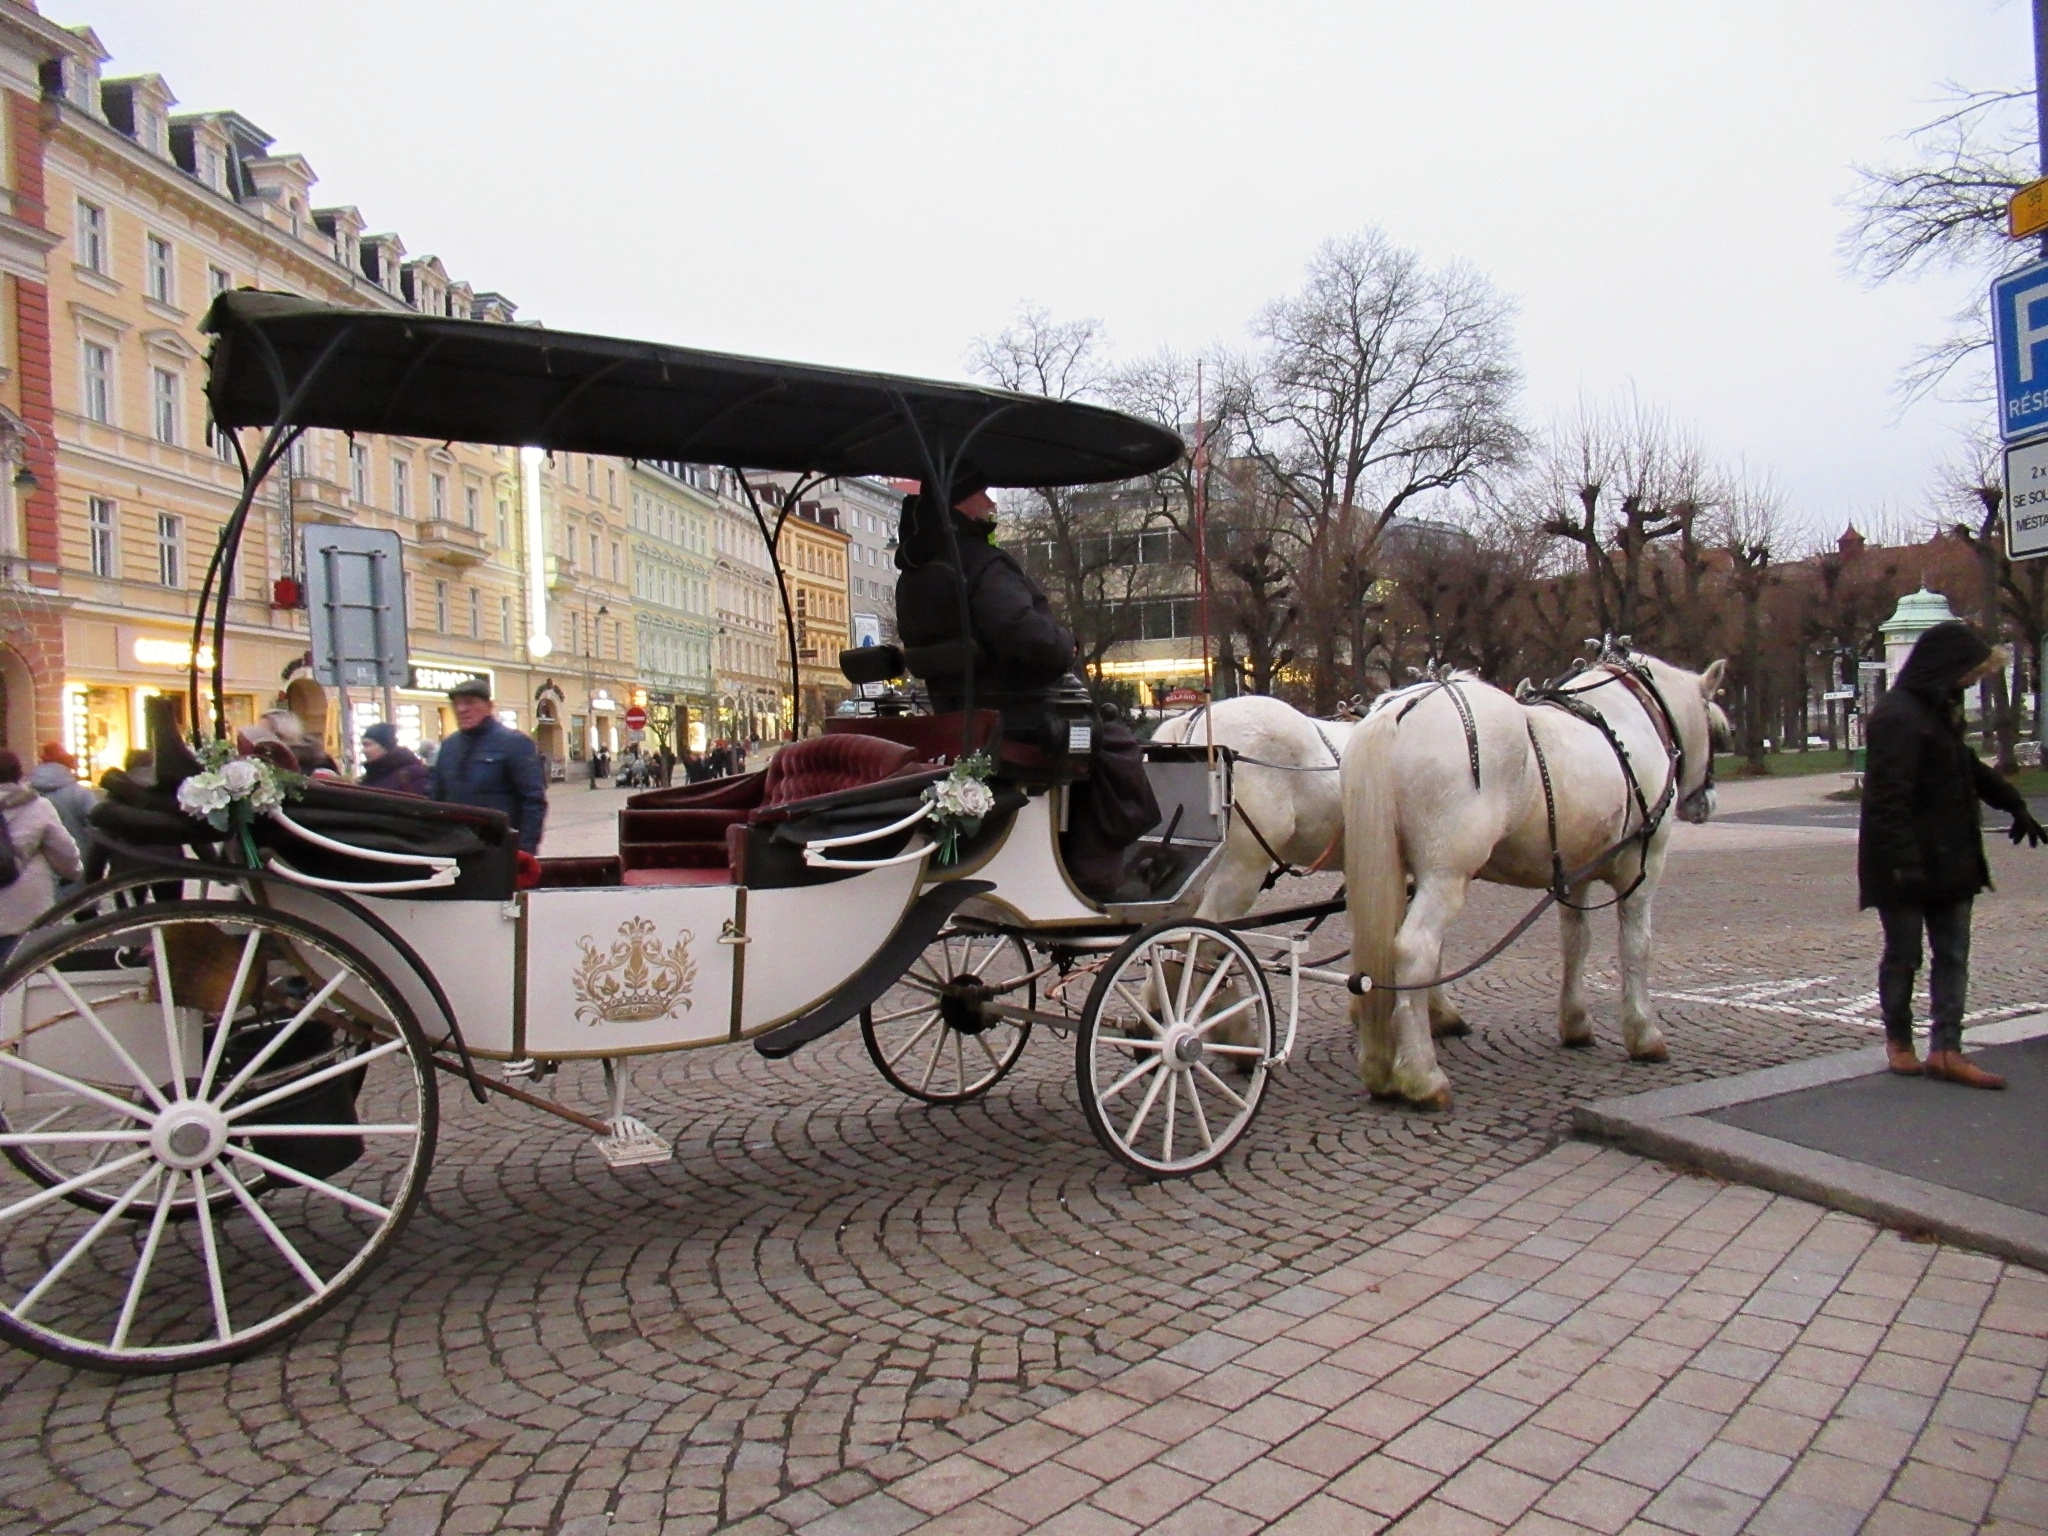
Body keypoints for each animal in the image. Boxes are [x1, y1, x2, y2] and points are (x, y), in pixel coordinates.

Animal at [1343, 655, 1728, 1114]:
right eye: (1720, 732)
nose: (1706, 802)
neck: (1630, 717)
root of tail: (1398, 708)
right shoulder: (1644, 866)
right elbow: (1636, 947)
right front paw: (1644, 1034)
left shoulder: (1575, 875)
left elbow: (1575, 942)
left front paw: (1575, 1022)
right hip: (1445, 876)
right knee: (1415, 950)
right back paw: (1422, 1076)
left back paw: (1382, 1066)